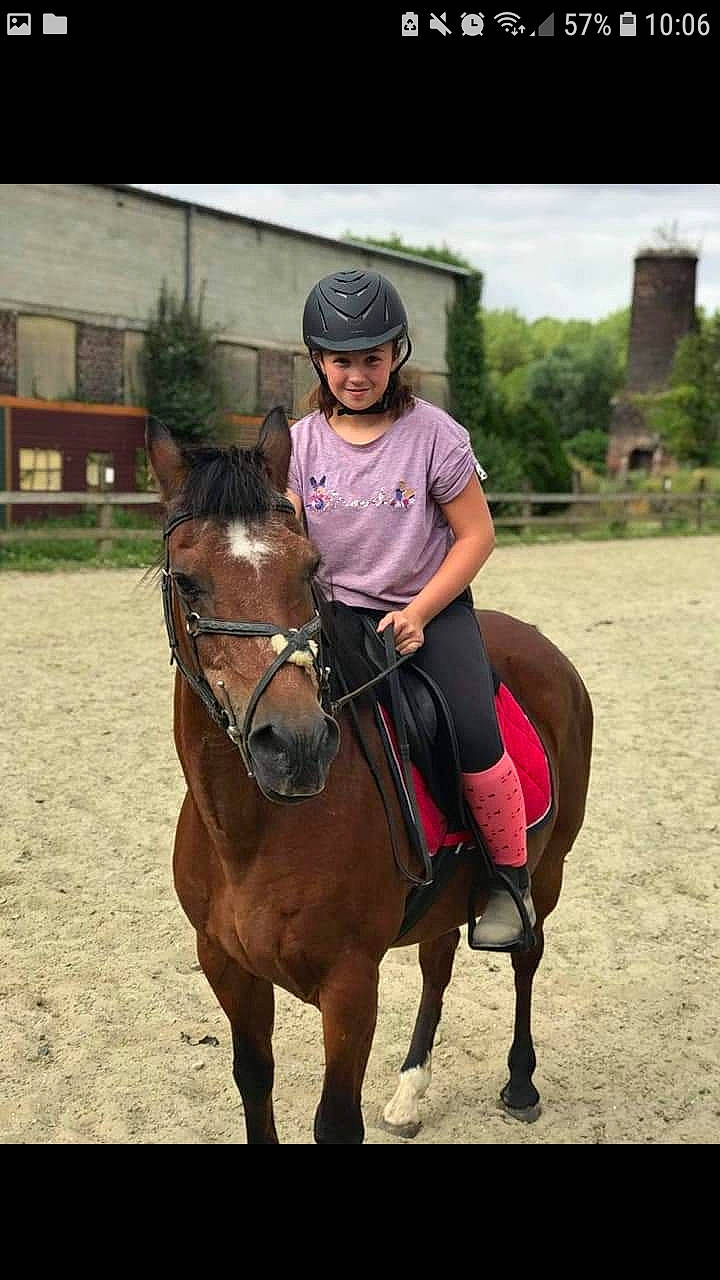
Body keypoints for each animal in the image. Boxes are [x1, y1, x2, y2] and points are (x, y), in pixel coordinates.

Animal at [146, 408, 593, 1145]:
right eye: (186, 579)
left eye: (309, 567)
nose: (295, 744)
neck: (252, 835)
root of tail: (542, 646)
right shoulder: (226, 967)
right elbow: (254, 1083)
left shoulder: (351, 983)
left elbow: (335, 1122)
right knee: (439, 962)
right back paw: (411, 1091)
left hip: (547, 865)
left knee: (527, 951)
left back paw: (521, 1082)